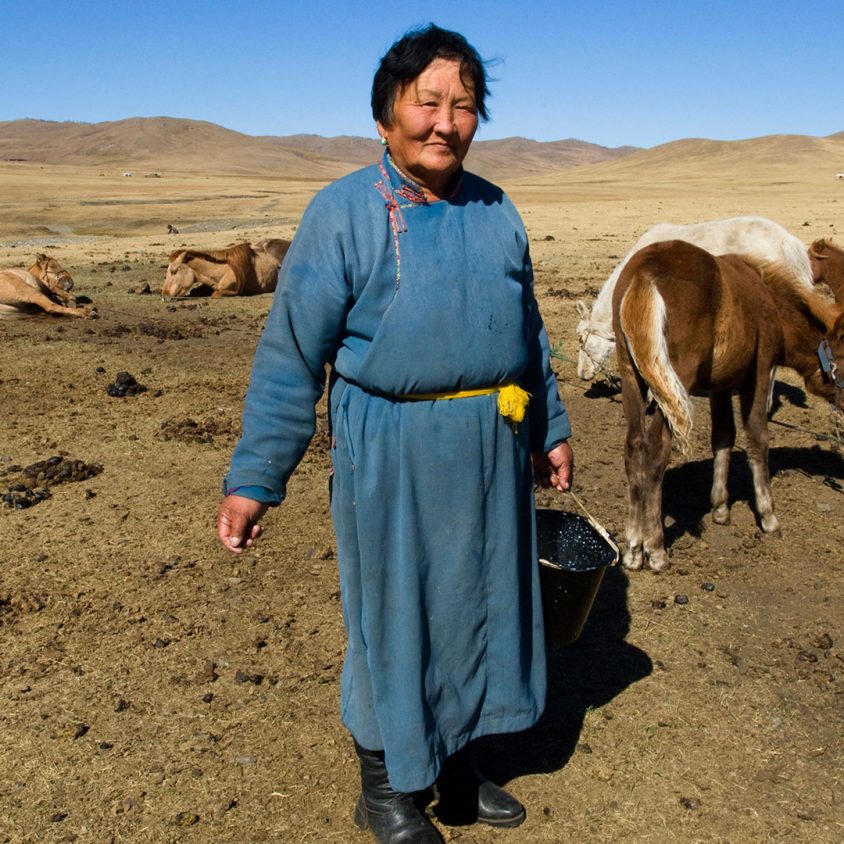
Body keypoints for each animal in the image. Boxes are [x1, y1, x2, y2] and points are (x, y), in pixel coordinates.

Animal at [612, 241, 844, 576]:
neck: (768, 299)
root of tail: (645, 272)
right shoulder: (759, 374)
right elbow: (757, 438)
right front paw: (768, 516)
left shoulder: (719, 386)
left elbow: (723, 437)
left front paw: (720, 507)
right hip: (674, 379)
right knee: (656, 449)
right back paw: (655, 548)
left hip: (632, 376)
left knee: (633, 448)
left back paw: (632, 549)